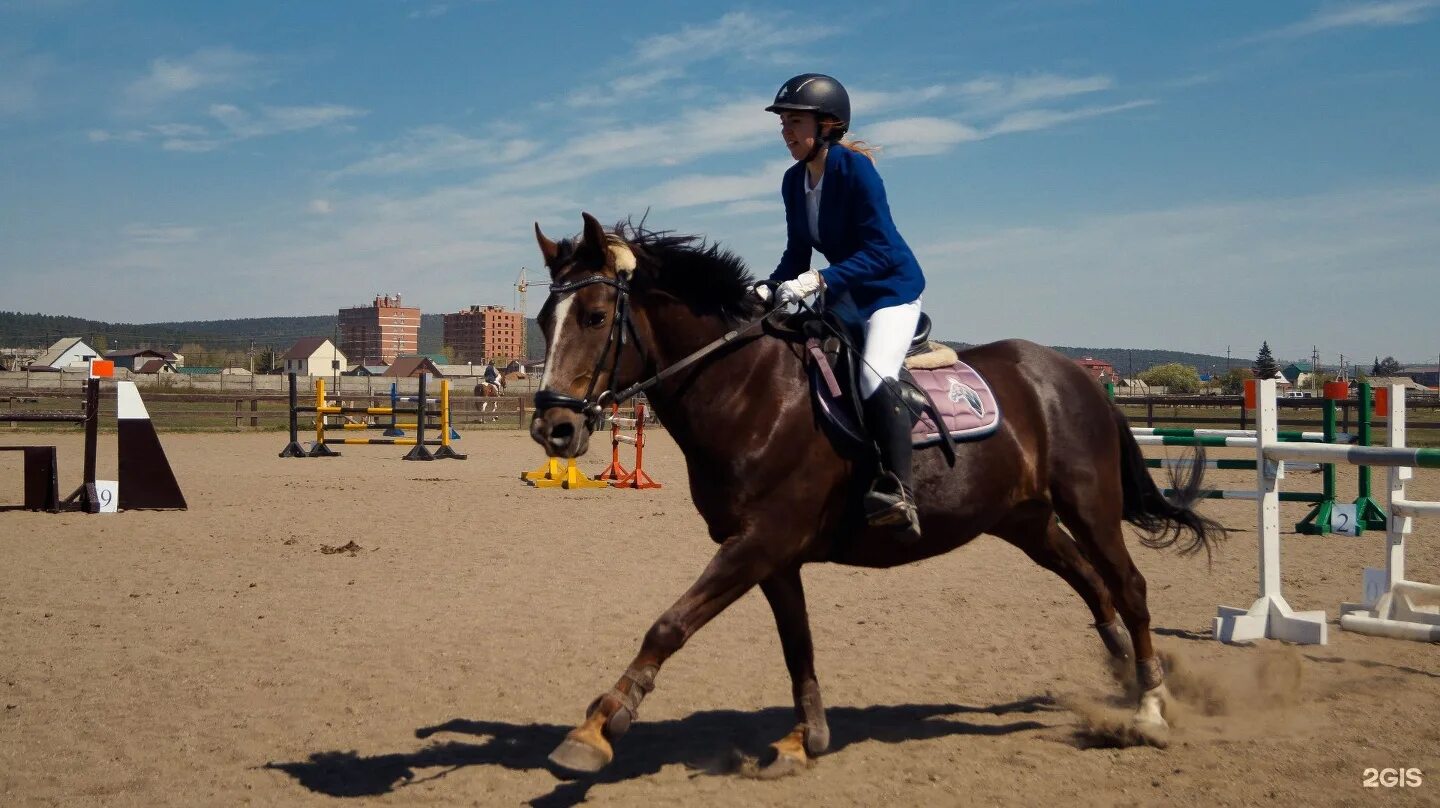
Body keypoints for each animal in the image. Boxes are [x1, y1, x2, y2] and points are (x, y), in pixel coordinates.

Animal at [524, 213, 1221, 777]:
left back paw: (1150, 707)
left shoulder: (761, 541)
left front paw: (597, 727)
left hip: (1089, 504)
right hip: (1025, 521)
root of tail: (1073, 374)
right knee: (1091, 583)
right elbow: (796, 643)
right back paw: (1126, 679)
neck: (748, 392)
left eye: (594, 317)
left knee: (1128, 587)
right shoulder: (771, 554)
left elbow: (669, 624)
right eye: (542, 322)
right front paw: (805, 739)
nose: (552, 428)